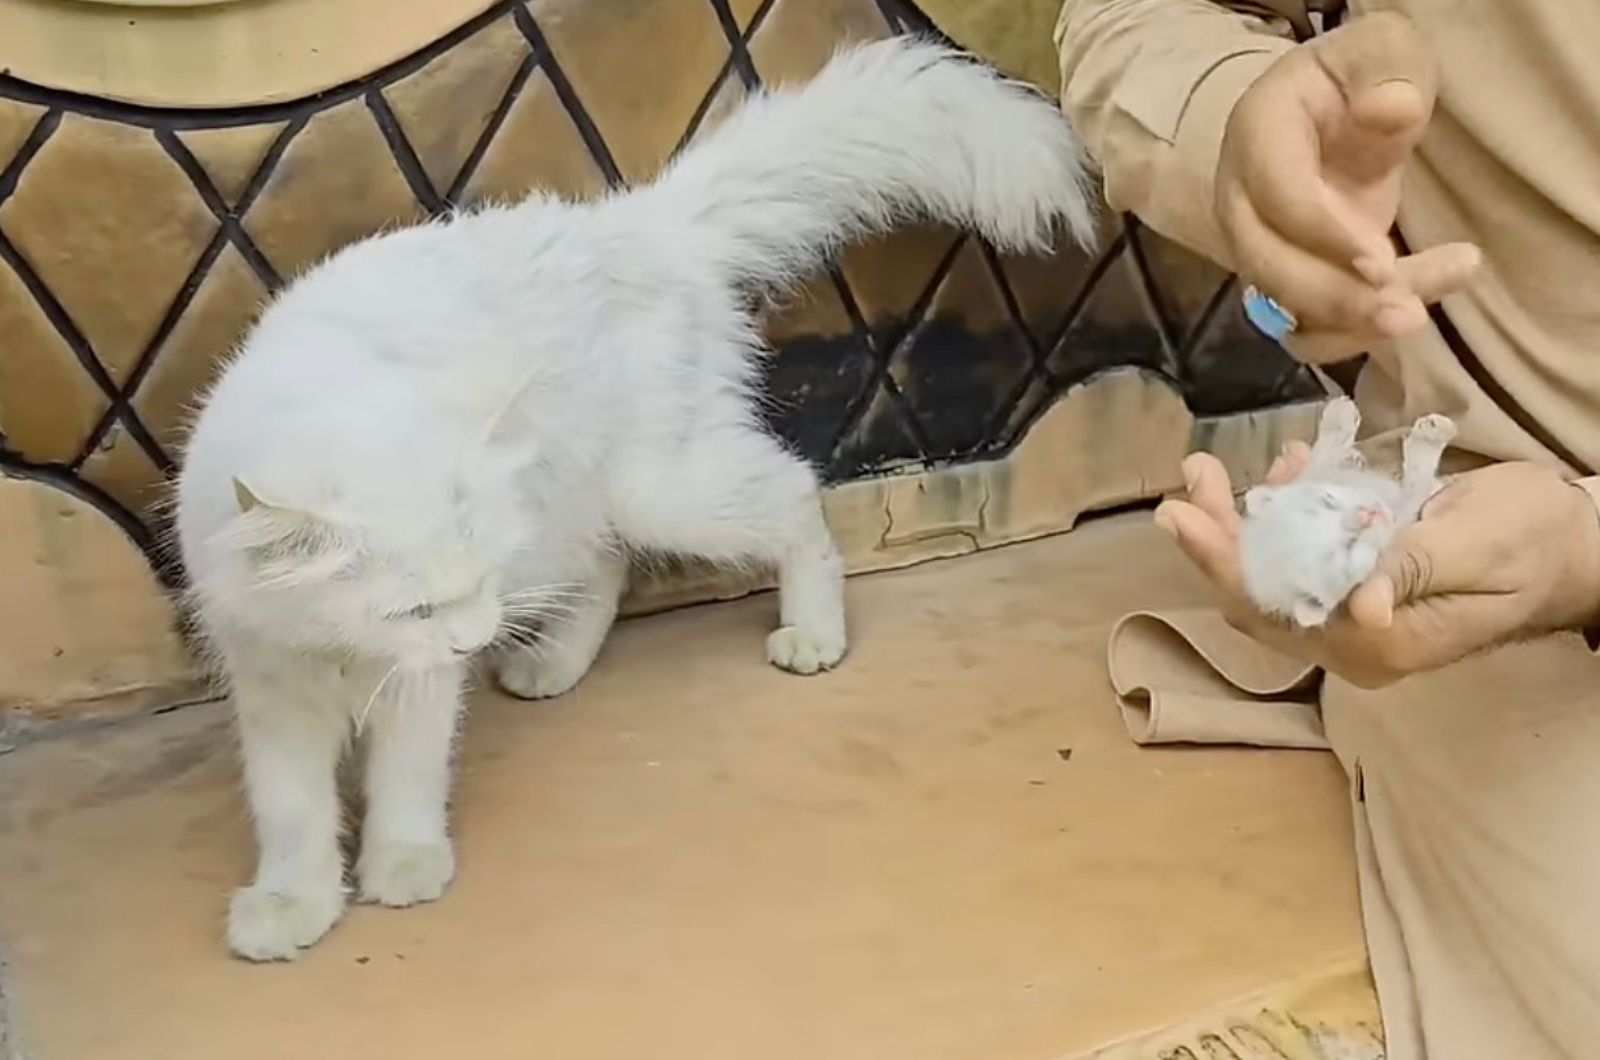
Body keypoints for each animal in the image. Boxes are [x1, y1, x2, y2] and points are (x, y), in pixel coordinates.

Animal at [178, 35, 1100, 960]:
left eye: (470, 589)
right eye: (412, 609)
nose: (475, 637)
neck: (338, 651)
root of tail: (645, 223)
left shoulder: (419, 682)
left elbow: (406, 775)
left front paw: (402, 864)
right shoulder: (272, 687)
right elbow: (291, 811)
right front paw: (294, 902)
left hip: (662, 486)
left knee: (790, 493)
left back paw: (811, 632)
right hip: (580, 501)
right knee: (606, 567)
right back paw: (554, 663)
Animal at [1241, 398, 1459, 630]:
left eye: (1327, 499)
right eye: (1348, 546)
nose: (1370, 512)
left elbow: (1322, 456)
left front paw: (1339, 416)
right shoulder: (1400, 517)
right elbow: (1416, 487)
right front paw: (1428, 444)